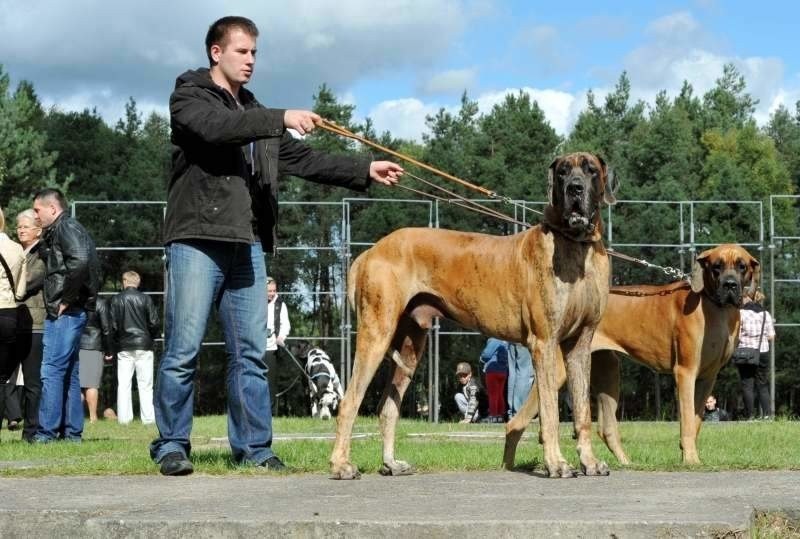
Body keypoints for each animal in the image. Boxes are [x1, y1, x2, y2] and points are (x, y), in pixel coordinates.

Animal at [332, 152, 620, 480]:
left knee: (387, 407)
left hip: (410, 345)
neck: (577, 244)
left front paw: (590, 461)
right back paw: (341, 465)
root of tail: (369, 252)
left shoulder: (580, 345)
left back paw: (391, 463)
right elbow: (550, 411)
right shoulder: (544, 342)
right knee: (349, 401)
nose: (575, 188)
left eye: (591, 170)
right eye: (562, 172)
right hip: (376, 333)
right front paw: (556, 463)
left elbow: (583, 410)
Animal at [504, 245, 760, 468]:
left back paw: (626, 463)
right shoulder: (685, 373)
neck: (715, 307)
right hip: (556, 371)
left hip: (607, 372)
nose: (730, 285)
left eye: (742, 266)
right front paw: (690, 460)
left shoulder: (708, 378)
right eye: (717, 266)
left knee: (606, 428)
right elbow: (687, 421)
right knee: (516, 422)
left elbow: (696, 421)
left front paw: (688, 454)